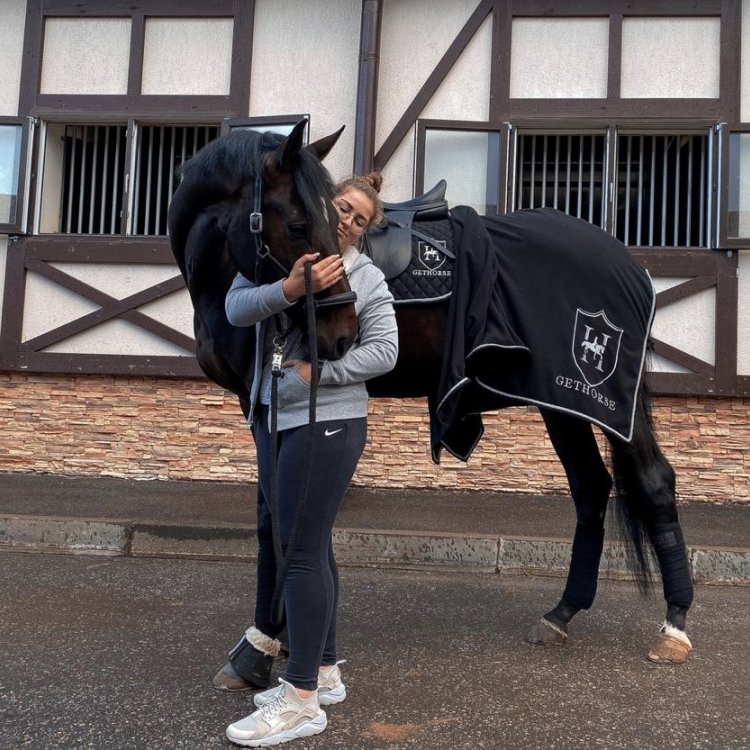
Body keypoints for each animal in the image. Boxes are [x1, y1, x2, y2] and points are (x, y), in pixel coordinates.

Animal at [167, 119, 694, 666]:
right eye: (297, 227)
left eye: (332, 222)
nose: (343, 335)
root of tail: (629, 263)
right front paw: (285, 636)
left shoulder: (266, 409)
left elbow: (278, 514)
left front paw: (263, 643)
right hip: (563, 404)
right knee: (590, 487)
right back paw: (561, 613)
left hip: (605, 403)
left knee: (653, 482)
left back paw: (674, 624)